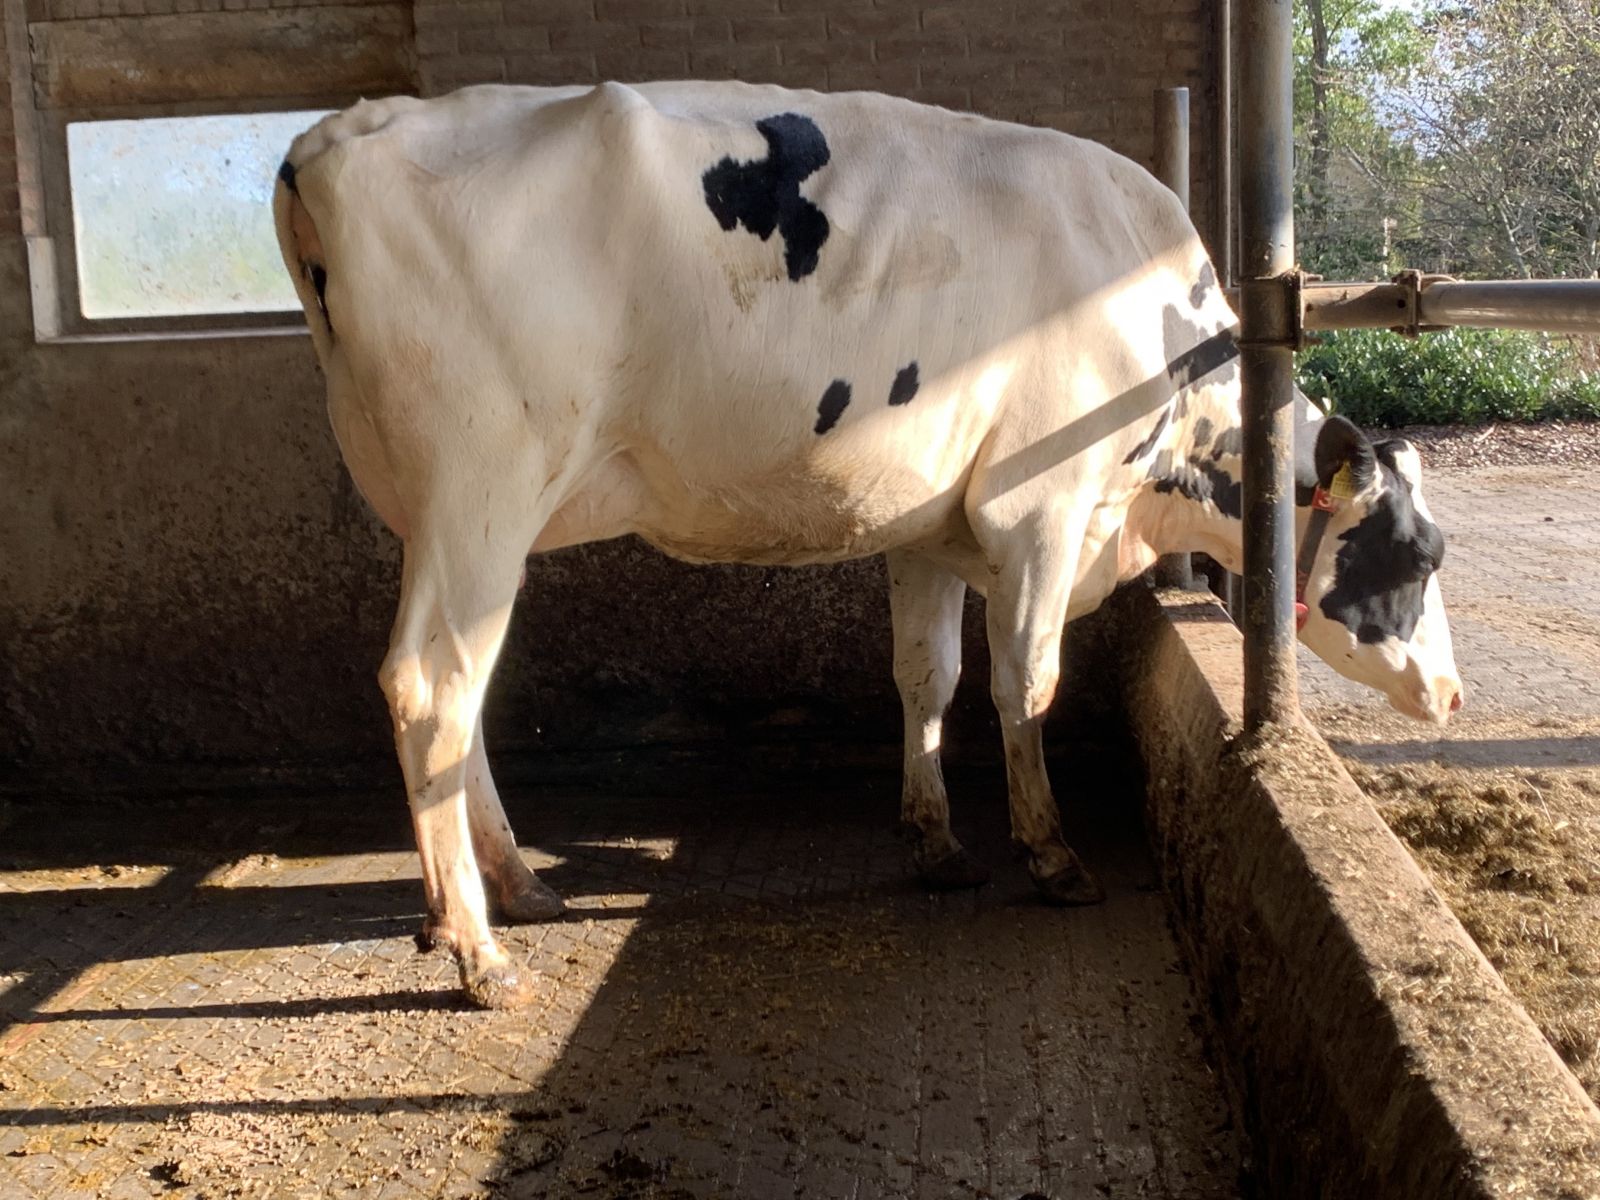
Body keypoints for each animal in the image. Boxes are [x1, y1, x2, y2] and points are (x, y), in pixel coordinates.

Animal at [275, 81, 1462, 1008]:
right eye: (1420, 555)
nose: (1453, 696)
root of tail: (335, 135)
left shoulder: (929, 526)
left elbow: (926, 678)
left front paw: (935, 841)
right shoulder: (1041, 509)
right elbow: (1025, 682)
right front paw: (1050, 852)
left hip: (435, 512)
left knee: (456, 693)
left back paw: (508, 889)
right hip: (483, 487)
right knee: (430, 684)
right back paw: (477, 950)